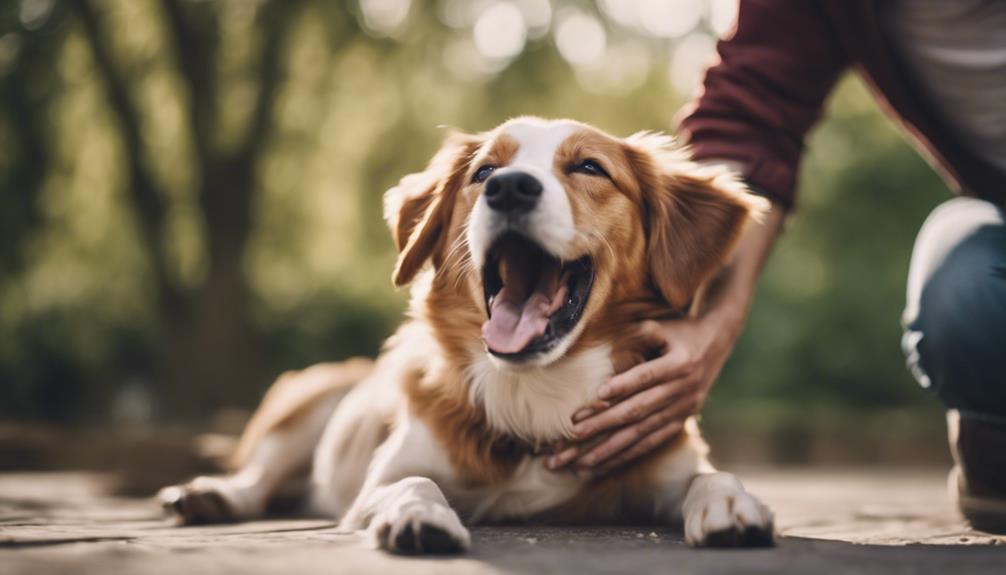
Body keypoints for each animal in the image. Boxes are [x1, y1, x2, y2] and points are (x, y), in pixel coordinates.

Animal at [156, 115, 772, 550]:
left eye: (590, 168)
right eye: (483, 173)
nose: (511, 187)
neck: (535, 391)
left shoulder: (666, 461)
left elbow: (712, 477)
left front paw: (732, 506)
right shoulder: (377, 483)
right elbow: (412, 483)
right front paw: (419, 515)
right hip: (305, 403)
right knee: (259, 475)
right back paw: (209, 496)